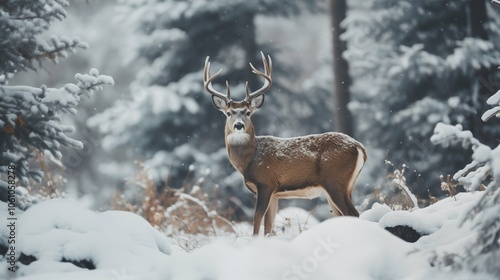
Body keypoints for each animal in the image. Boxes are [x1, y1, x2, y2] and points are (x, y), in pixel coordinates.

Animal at [203, 51, 368, 235]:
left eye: (247, 112)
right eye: (228, 113)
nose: (239, 125)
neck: (249, 160)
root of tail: (359, 147)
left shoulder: (266, 183)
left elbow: (257, 220)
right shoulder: (275, 193)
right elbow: (268, 226)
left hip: (335, 180)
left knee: (353, 212)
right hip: (347, 185)